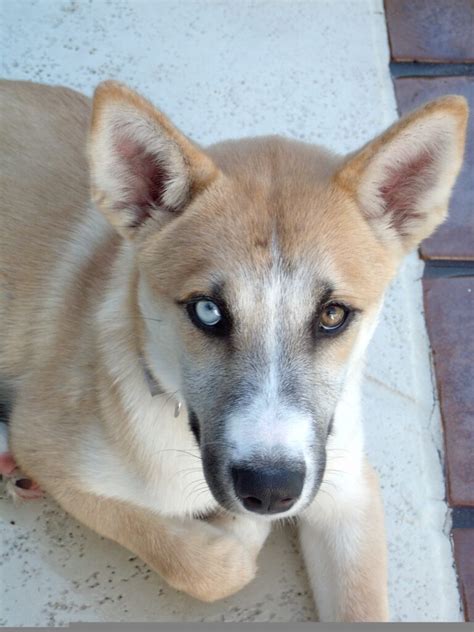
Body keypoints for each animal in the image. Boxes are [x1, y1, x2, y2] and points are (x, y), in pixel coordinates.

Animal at [0, 80, 466, 624]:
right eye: (207, 311)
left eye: (333, 315)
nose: (269, 492)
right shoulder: (46, 444)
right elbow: (201, 563)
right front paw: (235, 536)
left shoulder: (349, 489)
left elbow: (360, 607)